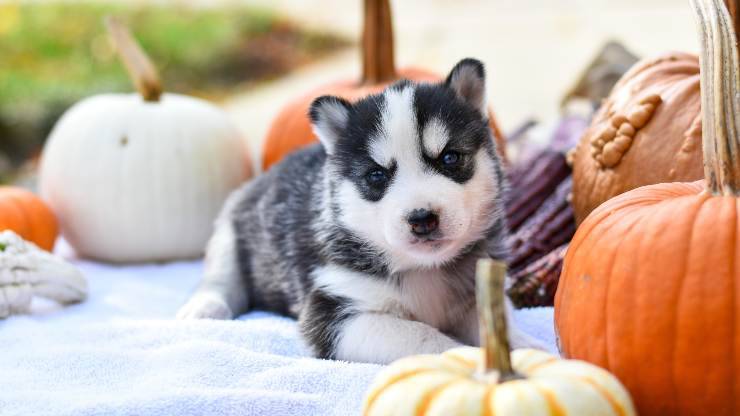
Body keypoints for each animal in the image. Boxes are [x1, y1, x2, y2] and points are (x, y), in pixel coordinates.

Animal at [176, 58, 540, 364]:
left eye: (450, 158)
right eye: (376, 176)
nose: (422, 219)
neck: (424, 270)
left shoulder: (475, 290)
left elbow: (496, 321)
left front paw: (524, 346)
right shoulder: (336, 313)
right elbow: (423, 337)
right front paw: (462, 356)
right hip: (230, 228)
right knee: (222, 276)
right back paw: (204, 306)